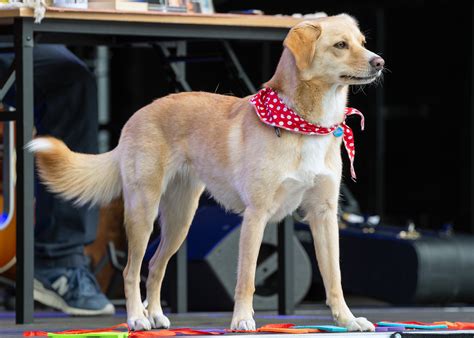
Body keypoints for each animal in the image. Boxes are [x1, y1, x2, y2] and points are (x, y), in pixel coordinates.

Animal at [27, 13, 386, 332]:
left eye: (362, 43)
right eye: (340, 45)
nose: (379, 61)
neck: (305, 124)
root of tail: (140, 113)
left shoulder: (323, 215)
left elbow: (334, 277)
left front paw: (348, 320)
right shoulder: (256, 215)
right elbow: (246, 277)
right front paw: (241, 320)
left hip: (180, 220)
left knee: (155, 266)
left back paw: (155, 315)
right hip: (143, 211)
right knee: (132, 269)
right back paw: (137, 318)